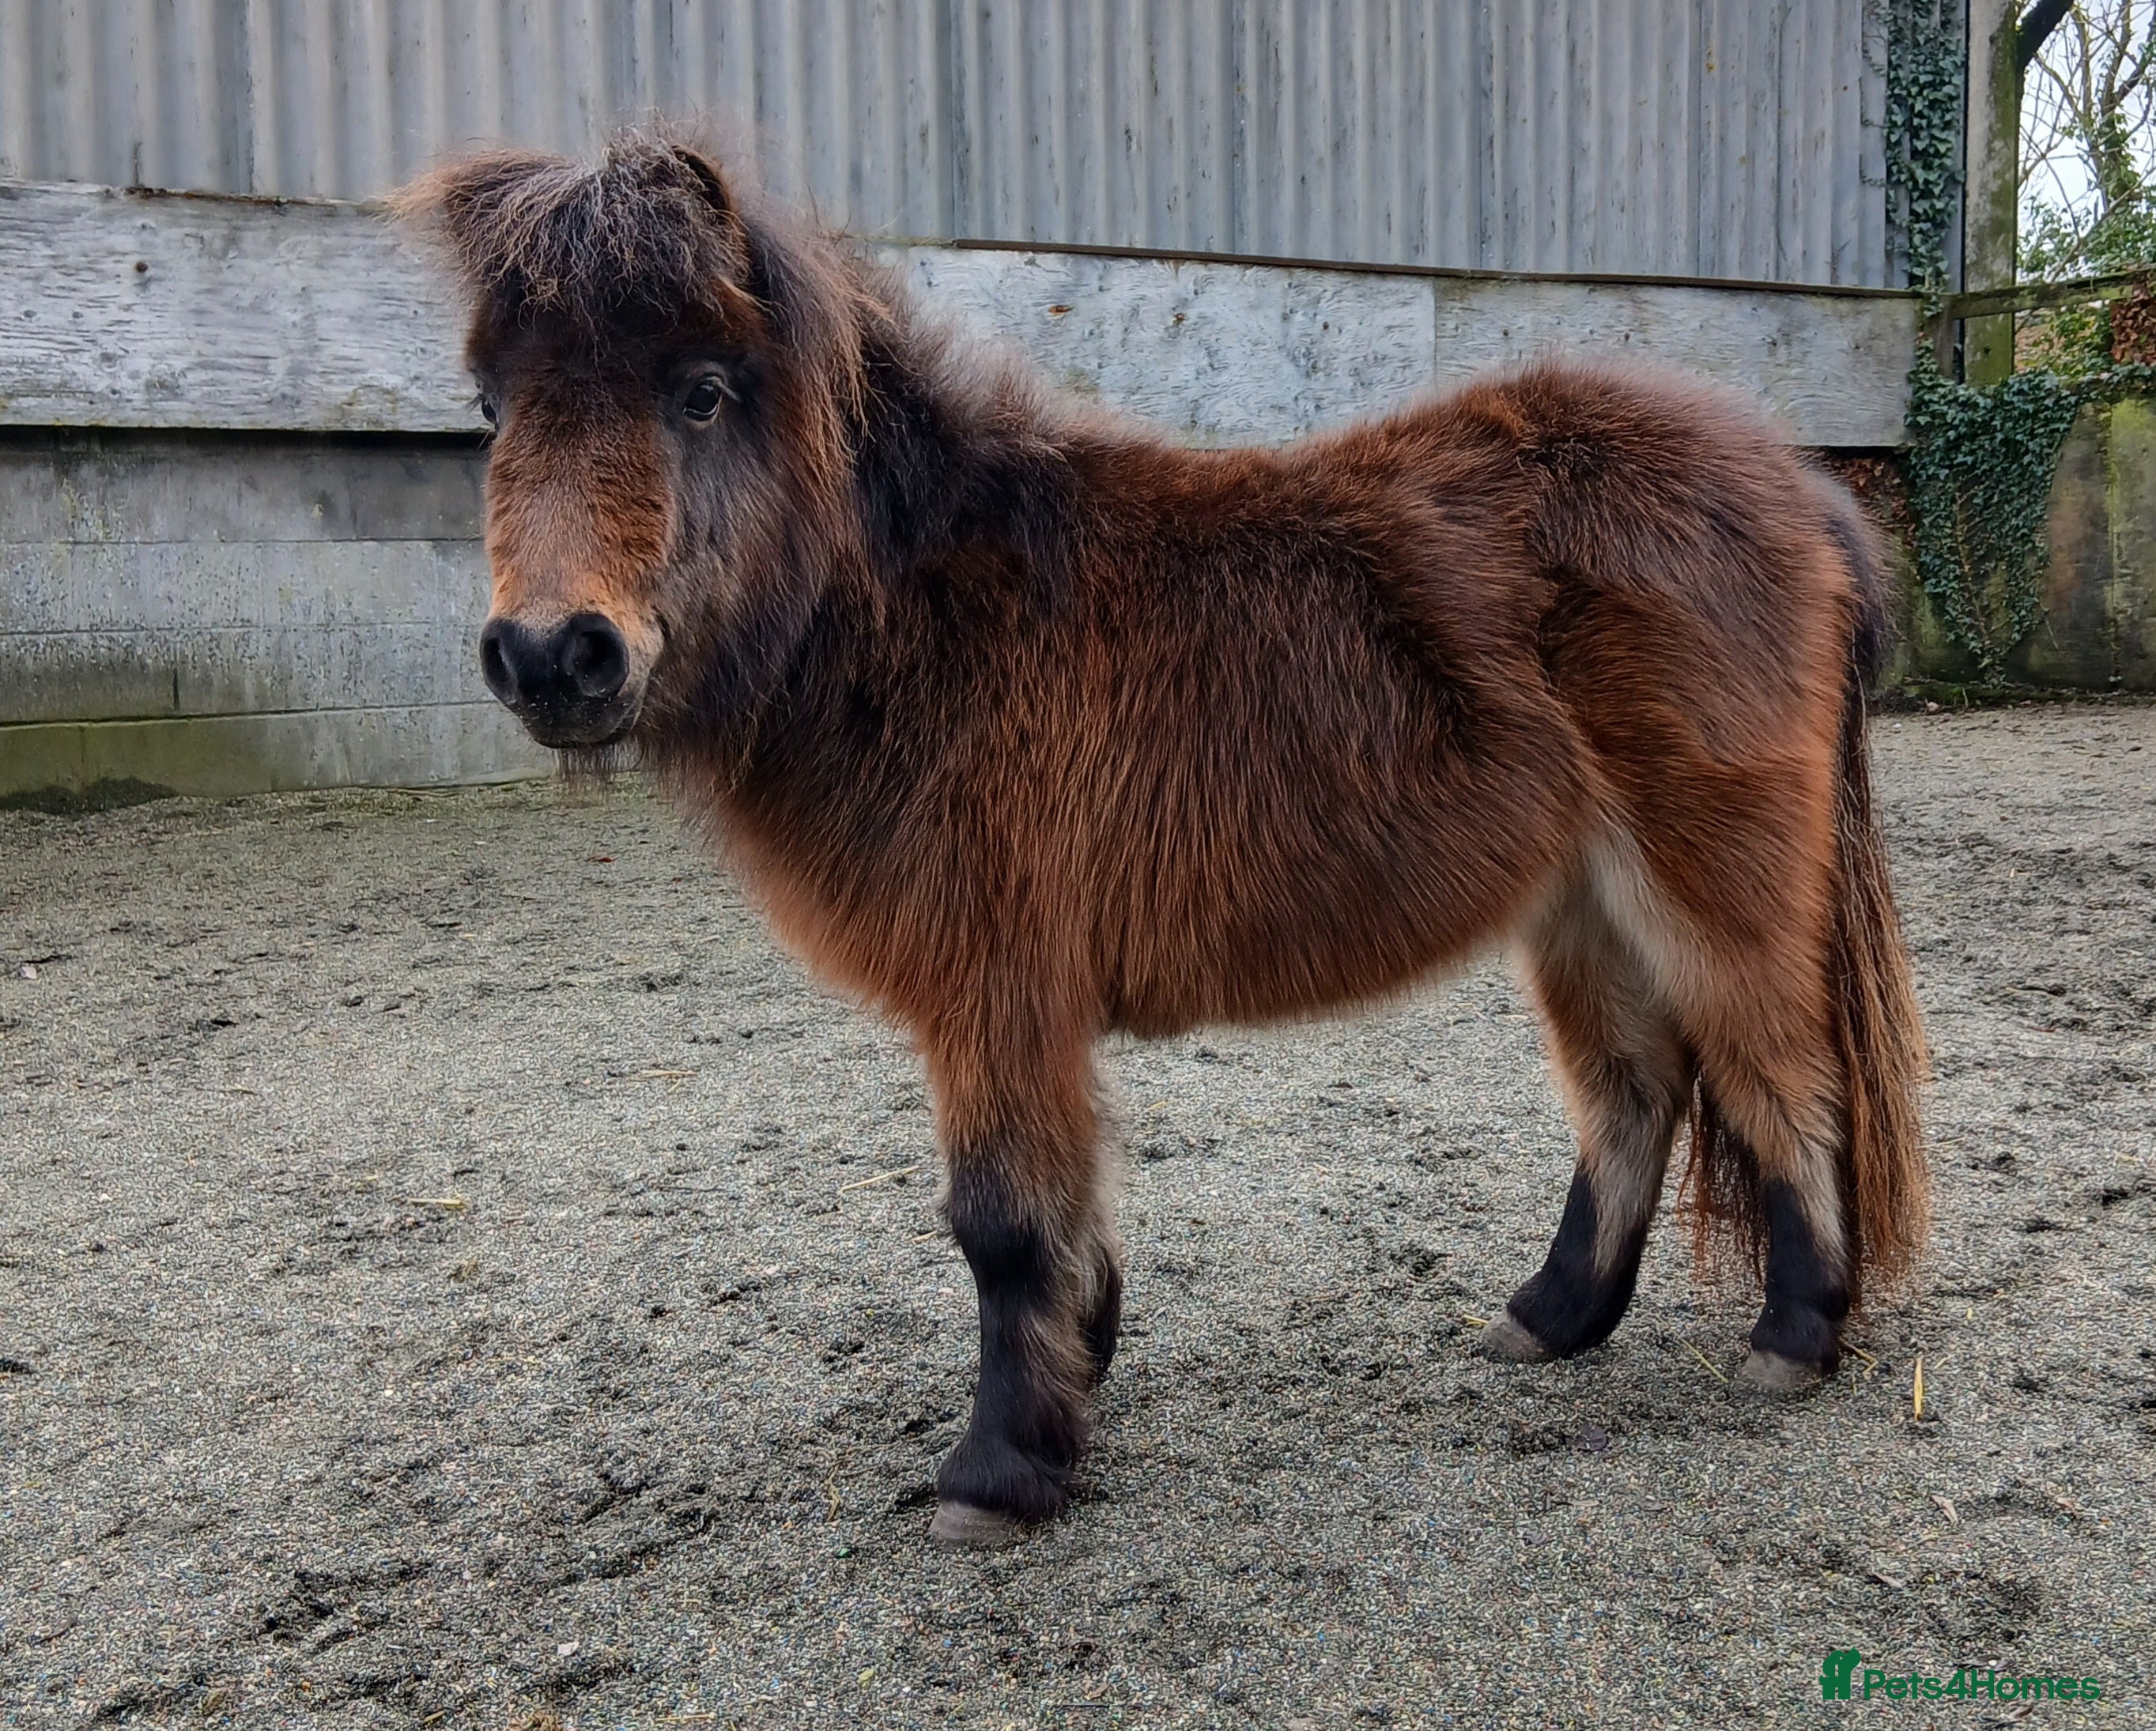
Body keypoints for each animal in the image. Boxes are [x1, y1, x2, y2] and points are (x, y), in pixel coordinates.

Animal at [396, 132, 1928, 1548]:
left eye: (701, 392)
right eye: (491, 406)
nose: (552, 657)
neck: (926, 618)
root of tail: (1799, 487)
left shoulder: (994, 989)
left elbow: (1002, 1225)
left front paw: (998, 1473)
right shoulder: (1019, 1000)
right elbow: (1066, 1211)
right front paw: (1080, 1367)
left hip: (1706, 878)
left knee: (1781, 1076)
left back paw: (1792, 1339)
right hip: (1579, 900)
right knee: (1631, 1089)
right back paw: (1551, 1317)